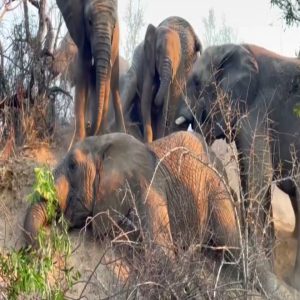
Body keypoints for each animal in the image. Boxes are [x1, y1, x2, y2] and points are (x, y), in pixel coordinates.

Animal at [56, 0, 125, 145]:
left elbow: (106, 78)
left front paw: (101, 135)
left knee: (113, 84)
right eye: (89, 21)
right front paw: (77, 142)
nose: (88, 126)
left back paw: (122, 132)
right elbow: (83, 74)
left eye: (114, 25)